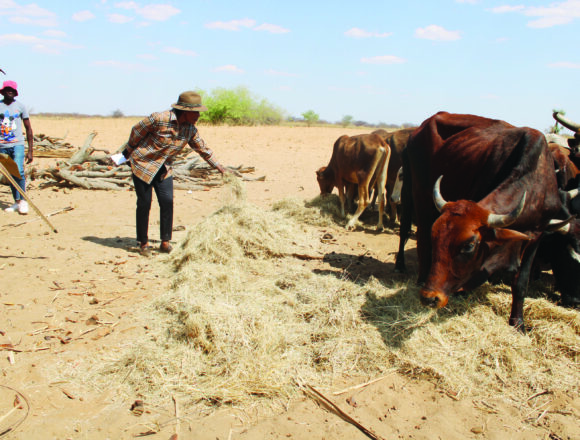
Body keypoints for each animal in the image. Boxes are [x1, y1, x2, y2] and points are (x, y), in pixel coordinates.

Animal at [392, 111, 568, 332]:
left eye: (469, 246)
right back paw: (412, 273)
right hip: (414, 193)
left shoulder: (537, 235)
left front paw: (518, 321)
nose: (429, 298)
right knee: (415, 233)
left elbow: (521, 282)